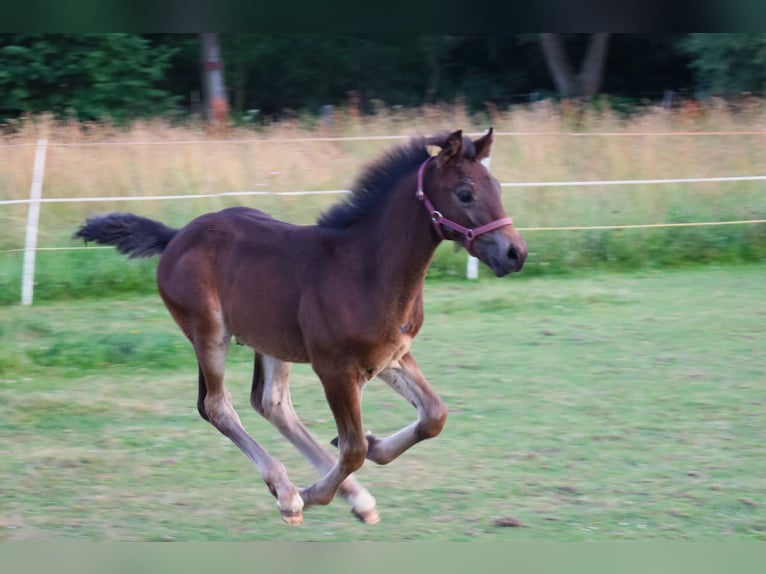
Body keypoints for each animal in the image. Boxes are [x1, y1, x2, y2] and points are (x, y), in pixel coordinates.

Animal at [76, 129, 528, 528]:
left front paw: (373, 450)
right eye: (465, 193)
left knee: (271, 403)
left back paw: (348, 497)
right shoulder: (334, 369)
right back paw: (289, 493)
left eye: (497, 185)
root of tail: (176, 237)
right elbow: (353, 448)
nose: (515, 253)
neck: (367, 268)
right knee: (217, 406)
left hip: (271, 340)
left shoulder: (390, 355)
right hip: (208, 333)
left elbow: (433, 415)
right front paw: (312, 493)